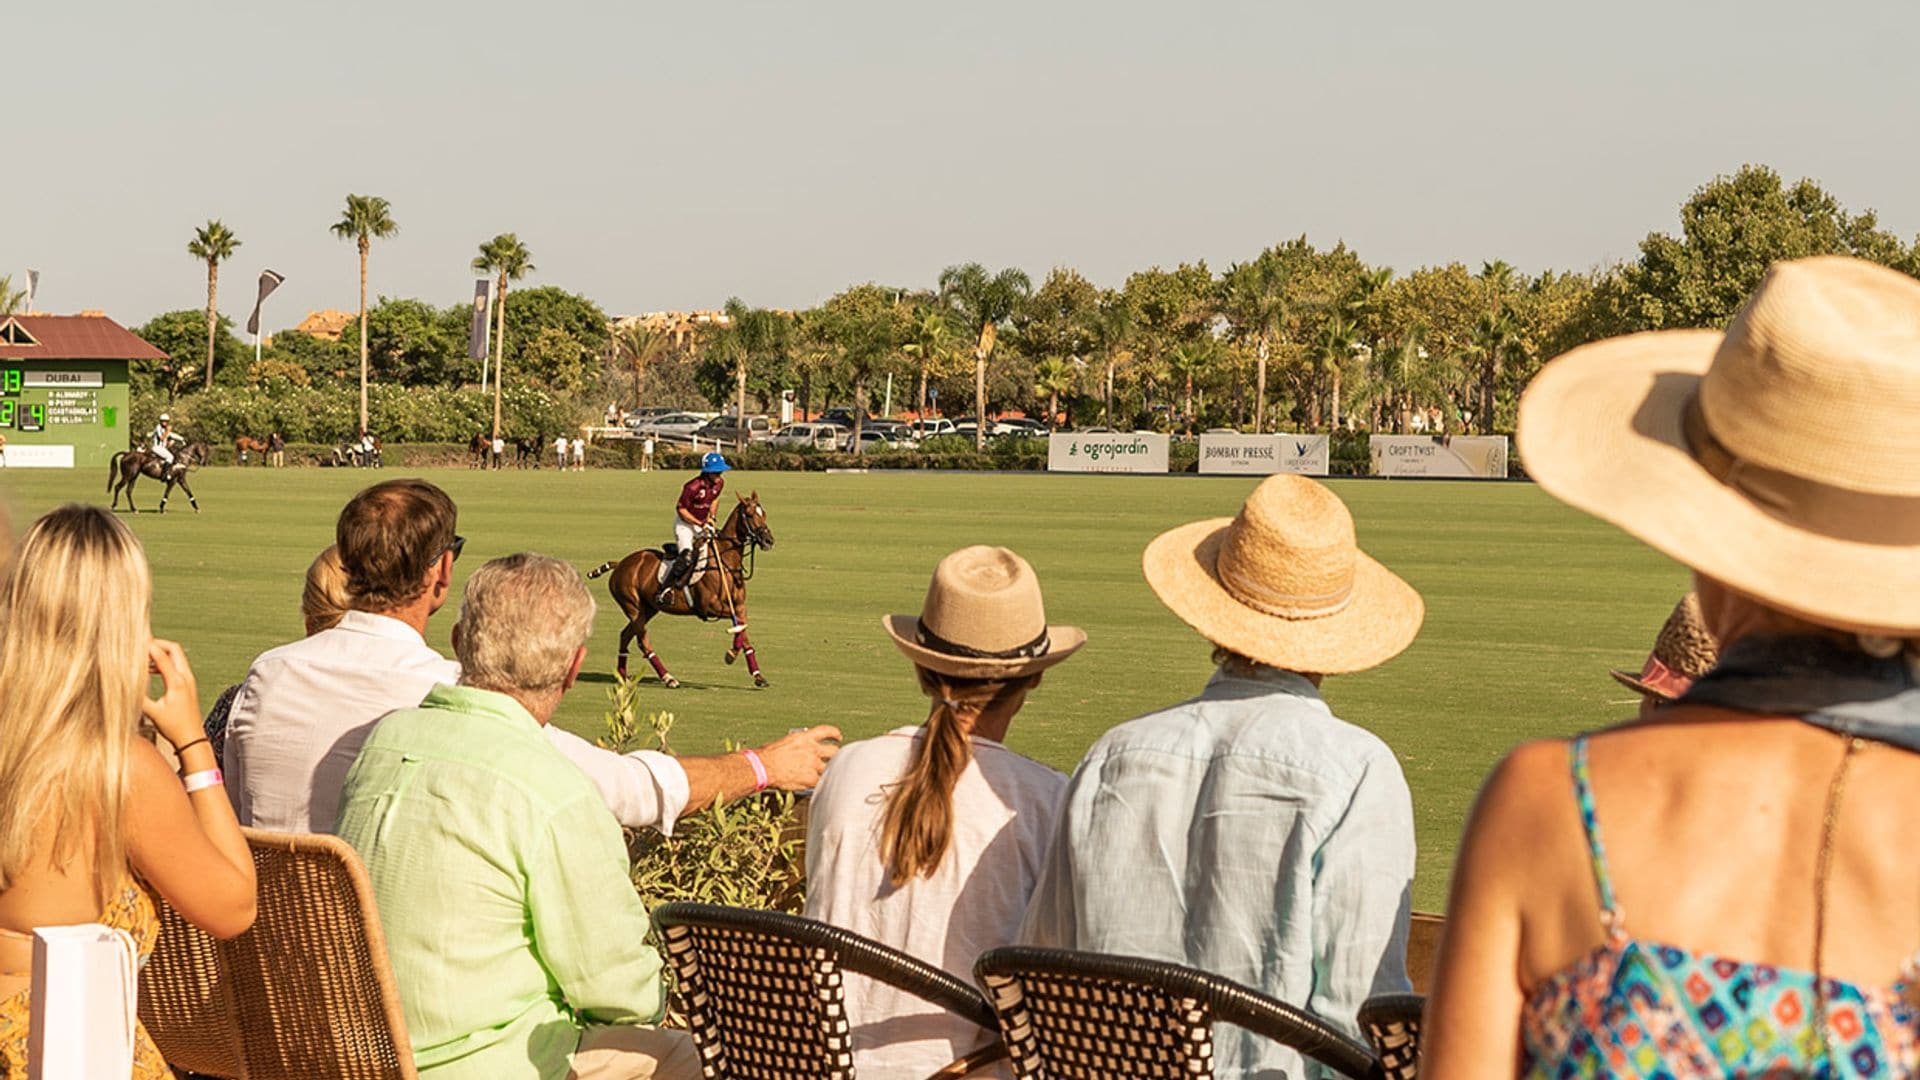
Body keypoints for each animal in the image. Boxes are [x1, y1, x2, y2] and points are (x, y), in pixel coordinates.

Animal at [583, 491, 771, 684]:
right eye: (749, 514)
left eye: (763, 514)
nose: (768, 540)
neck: (725, 563)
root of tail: (620, 563)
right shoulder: (709, 607)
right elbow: (739, 625)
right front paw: (731, 654)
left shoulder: (739, 606)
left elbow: (743, 629)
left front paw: (757, 675)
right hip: (633, 607)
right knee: (643, 641)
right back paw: (668, 677)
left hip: (649, 608)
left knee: (625, 635)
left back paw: (623, 675)